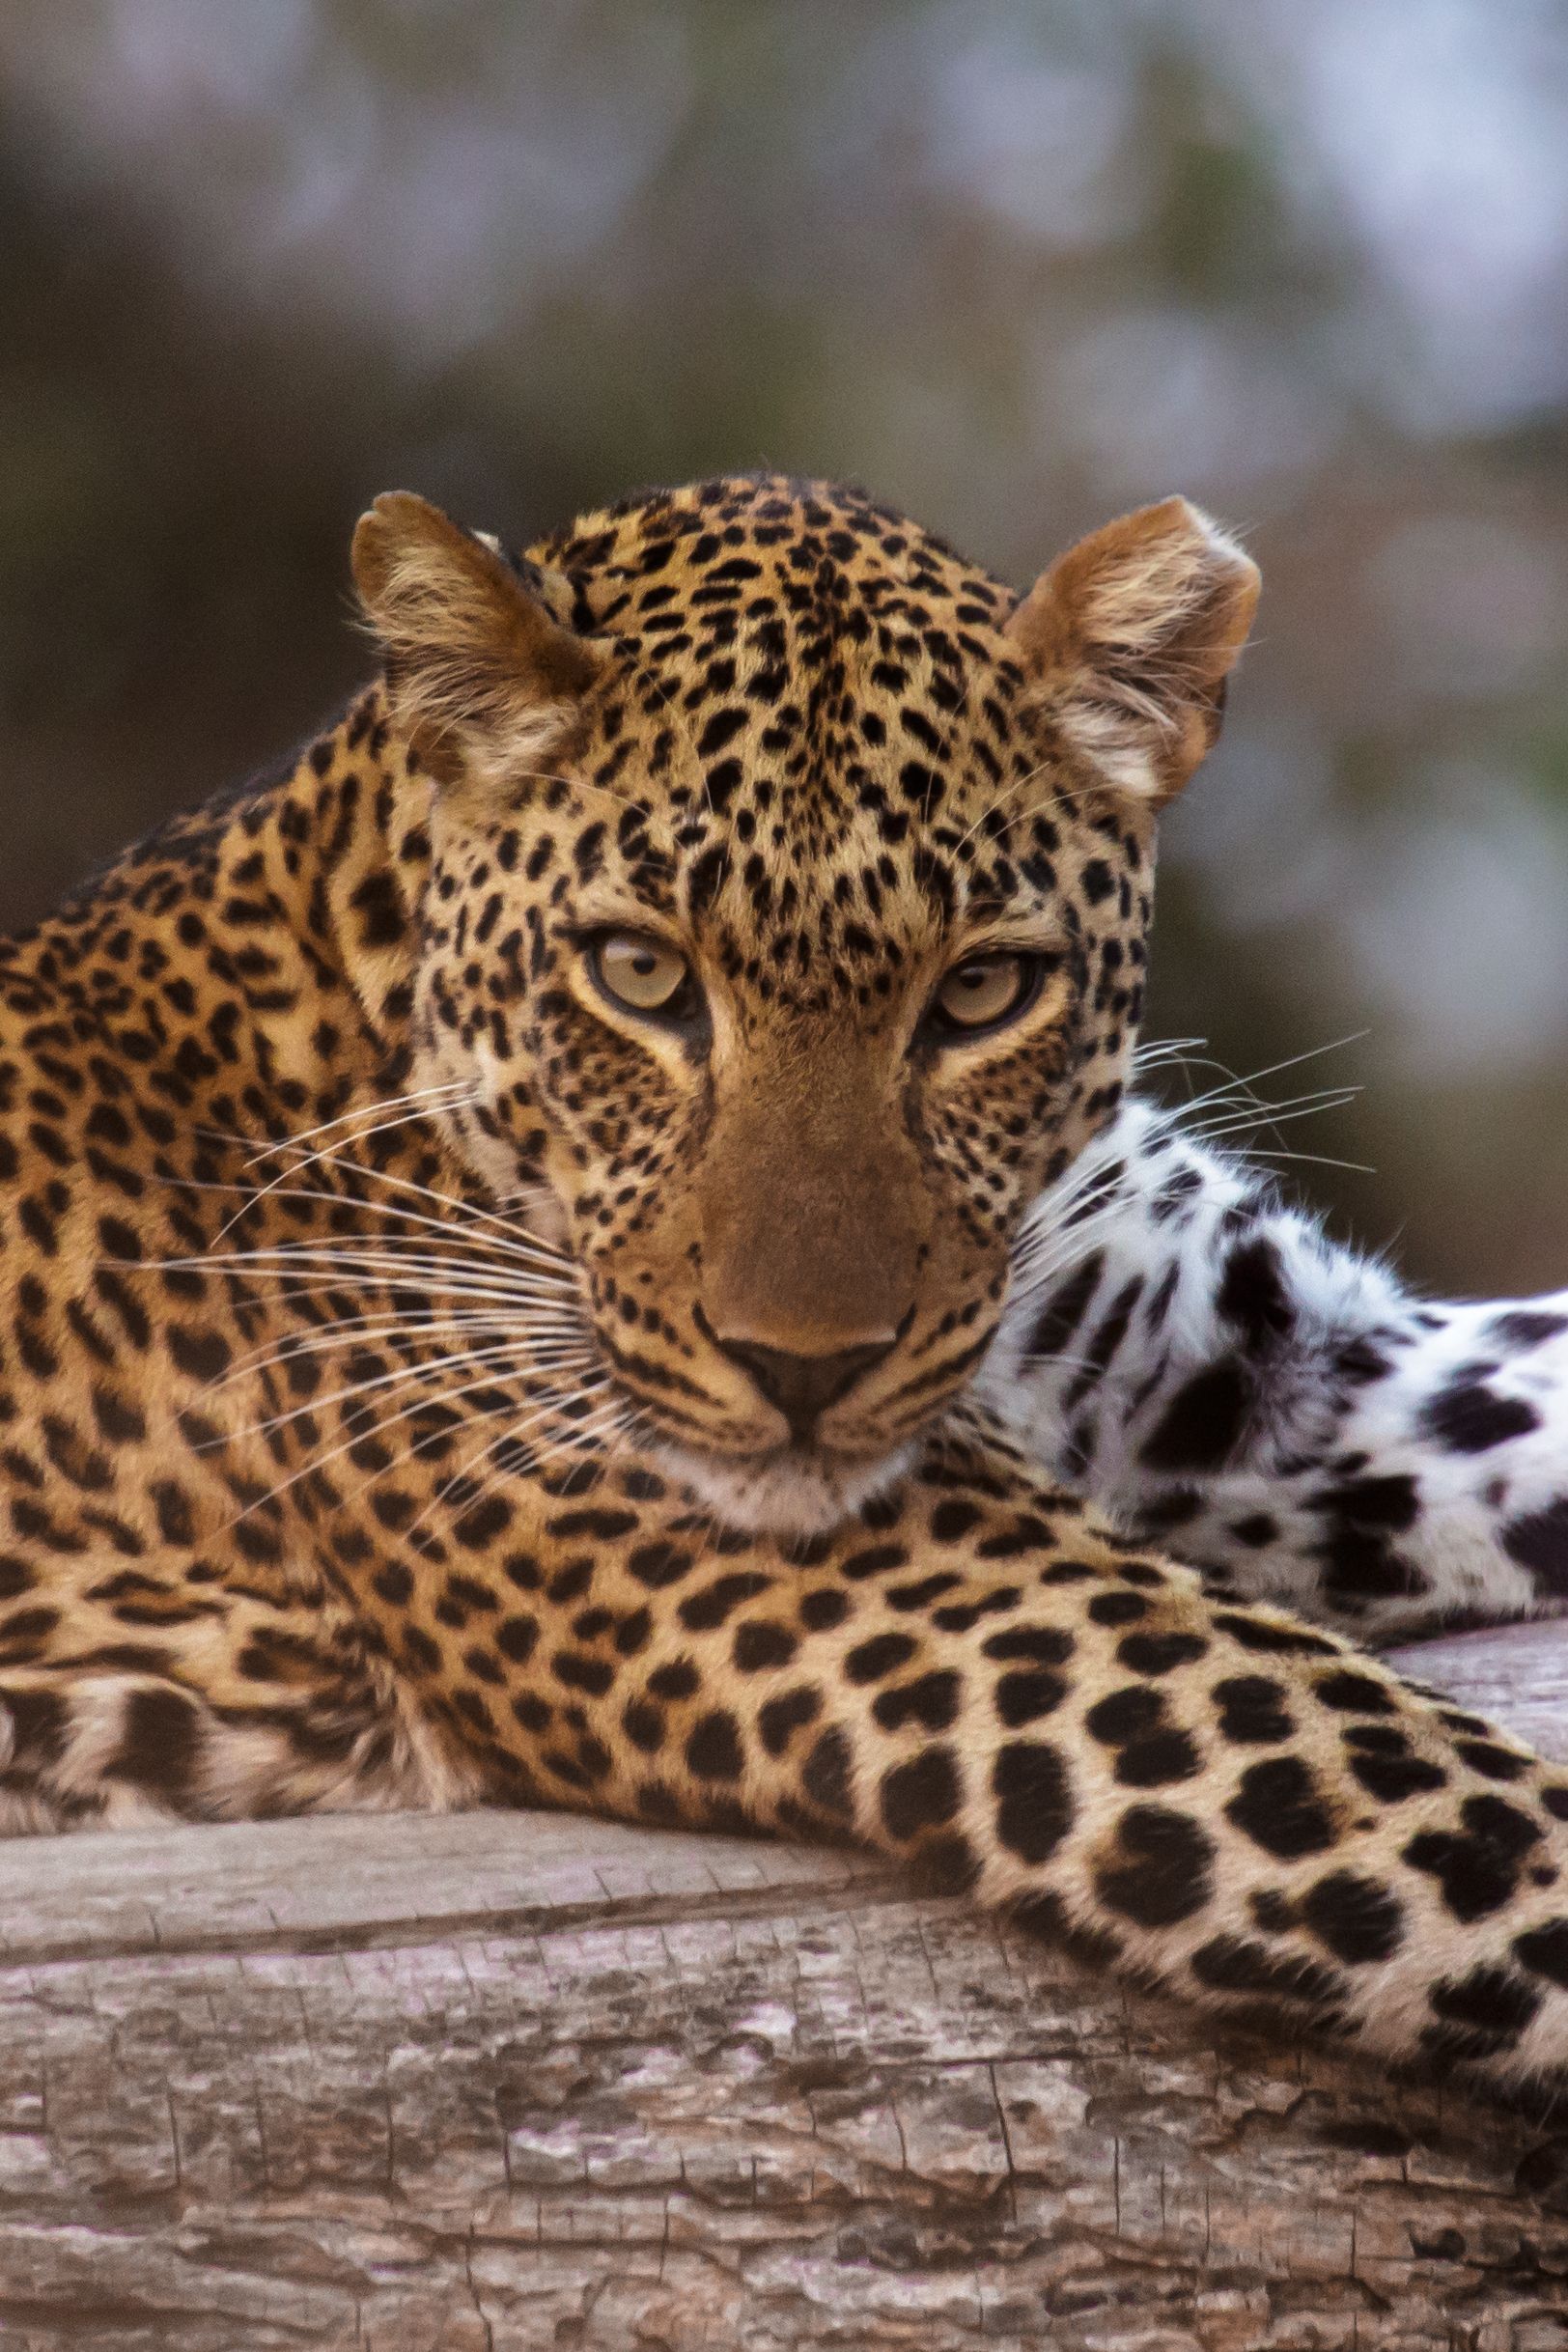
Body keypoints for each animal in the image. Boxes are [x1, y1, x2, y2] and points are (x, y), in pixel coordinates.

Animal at [4, 465, 1568, 2101]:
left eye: (981, 990)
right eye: (638, 973)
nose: (802, 1369)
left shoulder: (1272, 1376)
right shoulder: (956, 1603)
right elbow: (1483, 1834)